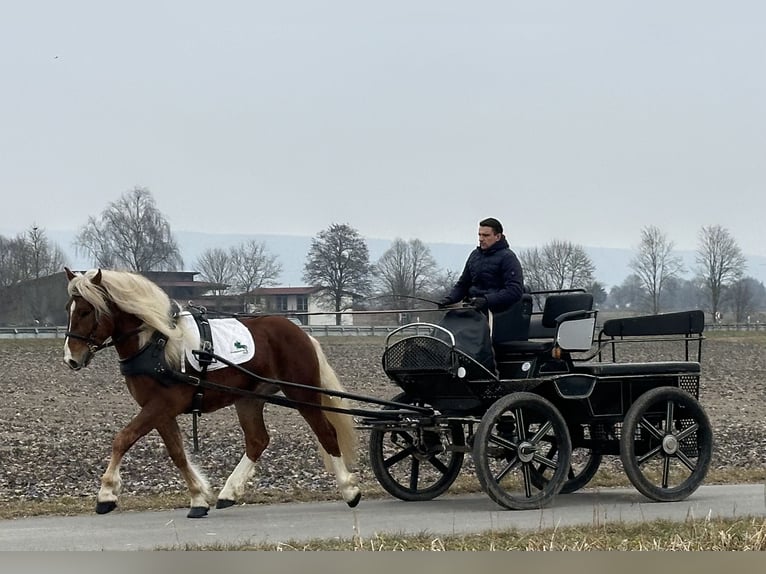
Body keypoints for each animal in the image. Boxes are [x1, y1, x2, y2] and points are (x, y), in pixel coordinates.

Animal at [61, 268, 362, 520]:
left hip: (302, 393)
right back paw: (229, 492)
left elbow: (122, 439)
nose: (71, 359)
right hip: (249, 398)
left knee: (326, 434)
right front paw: (198, 498)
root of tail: (299, 331)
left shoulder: (161, 405)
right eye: (69, 308)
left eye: (86, 311)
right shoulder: (160, 410)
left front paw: (106, 494)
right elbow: (177, 453)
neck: (157, 343)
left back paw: (349, 489)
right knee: (257, 440)